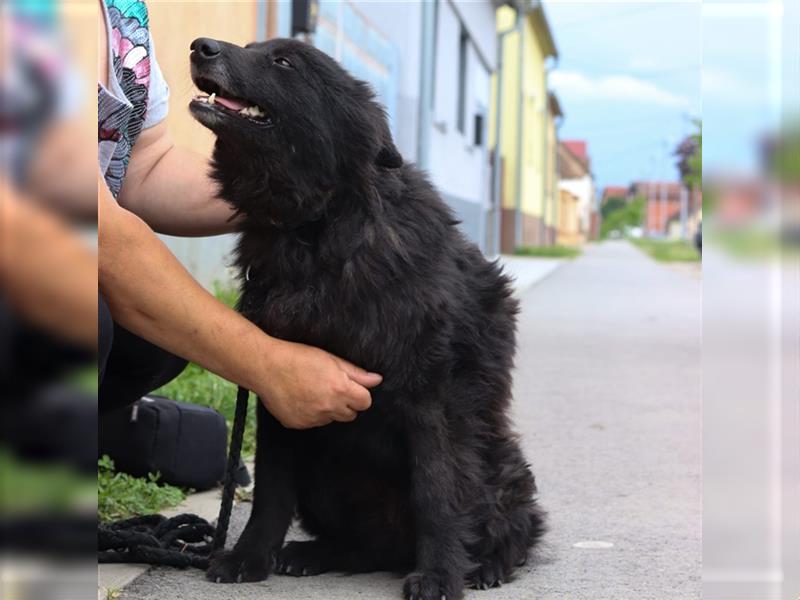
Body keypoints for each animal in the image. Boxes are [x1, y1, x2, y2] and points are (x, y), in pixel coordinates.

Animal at [189, 37, 544, 600]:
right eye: (251, 48)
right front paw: (249, 557)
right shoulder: (281, 389)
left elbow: (438, 493)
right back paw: (312, 554)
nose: (200, 47)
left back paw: (485, 565)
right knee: (365, 548)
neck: (316, 227)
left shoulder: (432, 398)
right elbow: (269, 489)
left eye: (283, 61)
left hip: (498, 462)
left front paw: (441, 574)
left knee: (516, 525)